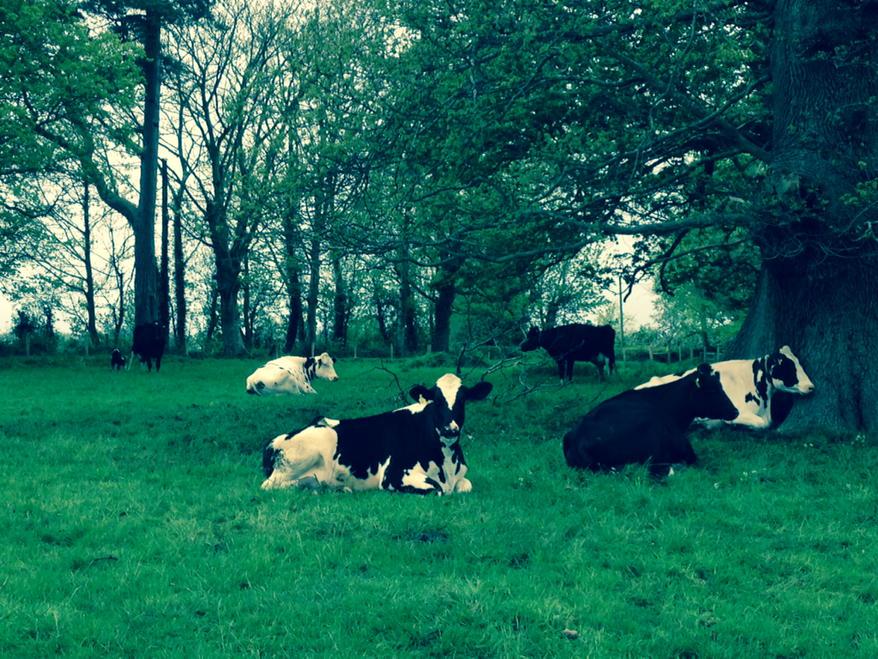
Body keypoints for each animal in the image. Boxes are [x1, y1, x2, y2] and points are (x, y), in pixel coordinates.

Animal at [261, 373, 493, 494]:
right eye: (436, 400)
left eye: (462, 400)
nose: (450, 429)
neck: (446, 462)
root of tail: (275, 440)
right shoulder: (394, 475)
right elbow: (436, 488)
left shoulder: (460, 477)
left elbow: (466, 485)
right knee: (270, 486)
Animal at [634, 346, 815, 429]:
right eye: (788, 367)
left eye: (799, 363)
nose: (810, 387)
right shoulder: (734, 413)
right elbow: (760, 424)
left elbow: (767, 423)